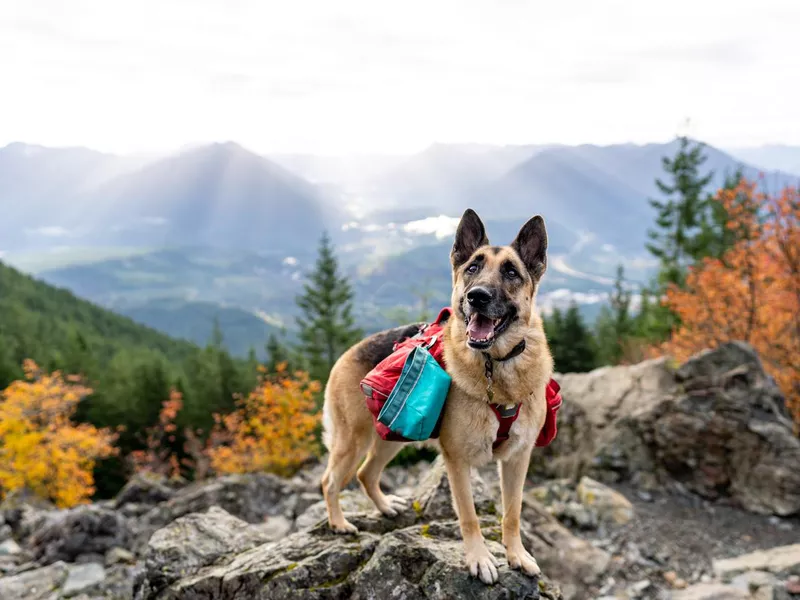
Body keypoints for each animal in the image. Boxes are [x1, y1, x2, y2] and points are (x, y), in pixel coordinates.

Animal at [318, 209, 552, 584]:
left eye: (511, 272)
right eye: (472, 267)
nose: (477, 296)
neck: (495, 367)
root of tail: (347, 353)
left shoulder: (518, 459)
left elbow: (512, 512)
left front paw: (516, 554)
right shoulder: (457, 462)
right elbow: (469, 516)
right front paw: (479, 559)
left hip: (391, 437)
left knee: (366, 474)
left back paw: (385, 506)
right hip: (353, 439)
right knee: (329, 481)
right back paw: (339, 523)